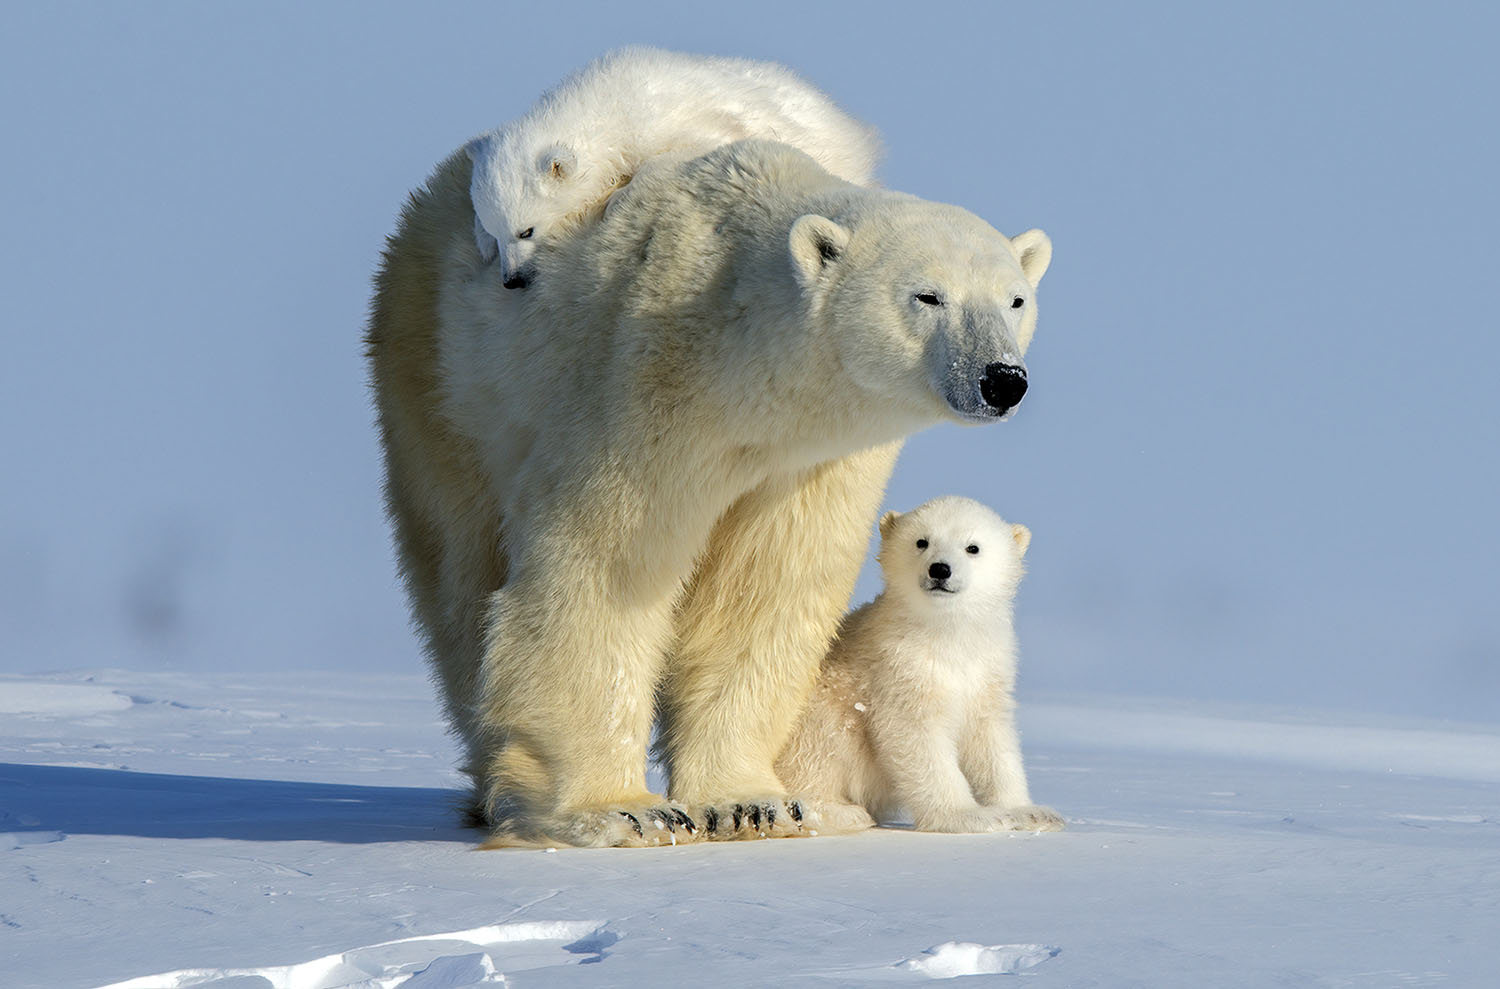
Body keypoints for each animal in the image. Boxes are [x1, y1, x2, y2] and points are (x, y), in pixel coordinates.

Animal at [465, 47, 876, 286]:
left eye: (527, 231)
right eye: (499, 230)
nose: (512, 280)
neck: (610, 102)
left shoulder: (669, 121)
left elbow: (700, 145)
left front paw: (617, 198)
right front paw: (482, 241)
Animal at [780, 495, 1062, 834]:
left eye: (973, 547)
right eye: (921, 541)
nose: (940, 569)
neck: (946, 635)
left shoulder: (988, 670)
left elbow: (992, 740)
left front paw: (1030, 812)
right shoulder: (898, 669)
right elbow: (916, 737)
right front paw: (968, 816)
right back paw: (841, 812)